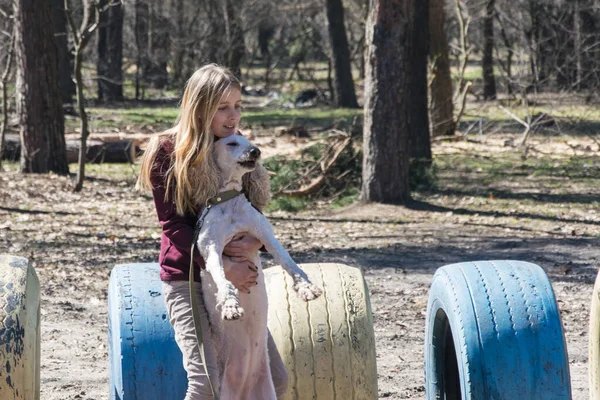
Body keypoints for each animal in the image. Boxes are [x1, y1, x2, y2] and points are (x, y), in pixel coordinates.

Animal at [198, 134, 324, 400]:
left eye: (247, 140)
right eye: (232, 143)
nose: (256, 151)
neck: (230, 201)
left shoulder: (264, 234)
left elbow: (287, 260)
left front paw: (306, 287)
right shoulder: (210, 248)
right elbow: (223, 278)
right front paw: (230, 305)